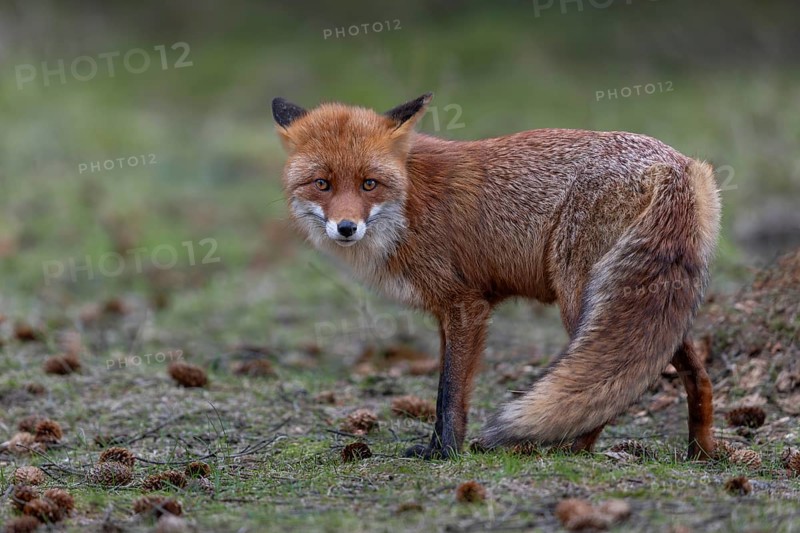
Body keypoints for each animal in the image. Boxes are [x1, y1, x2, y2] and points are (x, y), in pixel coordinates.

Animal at [271, 93, 721, 460]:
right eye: (322, 184)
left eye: (369, 184)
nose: (346, 228)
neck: (407, 204)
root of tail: (673, 163)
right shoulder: (449, 313)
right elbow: (449, 388)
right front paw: (440, 447)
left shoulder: (466, 305)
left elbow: (449, 393)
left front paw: (444, 453)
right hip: (649, 303)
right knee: (692, 376)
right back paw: (700, 452)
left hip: (583, 301)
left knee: (612, 385)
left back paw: (571, 450)